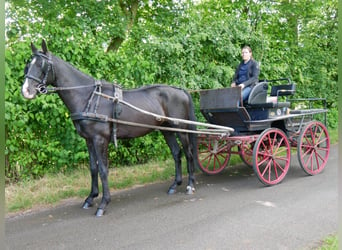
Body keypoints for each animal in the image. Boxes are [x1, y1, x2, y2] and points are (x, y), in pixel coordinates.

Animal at [22, 40, 198, 216]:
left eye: (42, 64)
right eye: (28, 64)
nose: (26, 91)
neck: (88, 97)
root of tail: (182, 91)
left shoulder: (100, 139)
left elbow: (103, 169)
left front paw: (103, 203)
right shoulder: (89, 140)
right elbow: (93, 168)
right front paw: (90, 198)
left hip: (181, 129)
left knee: (189, 153)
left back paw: (190, 185)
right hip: (166, 130)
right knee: (176, 153)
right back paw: (175, 184)